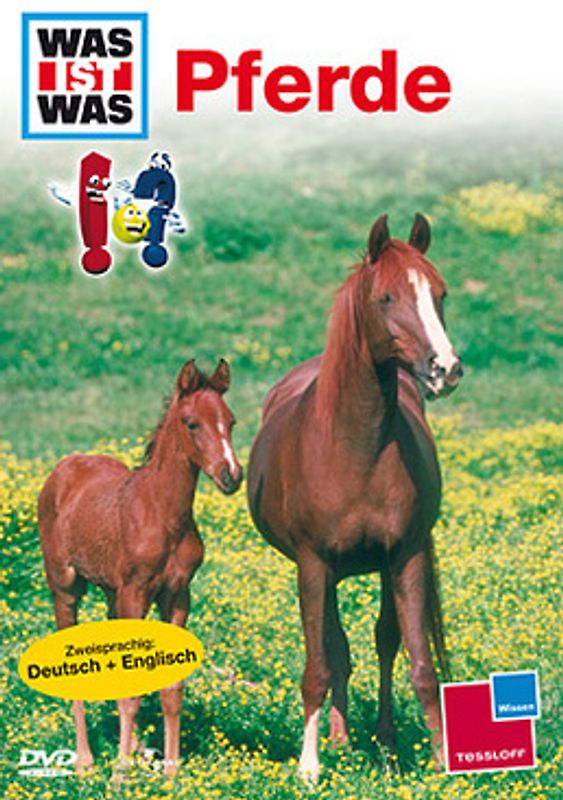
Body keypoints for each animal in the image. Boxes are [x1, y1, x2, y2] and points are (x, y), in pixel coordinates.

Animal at [38, 358, 242, 777]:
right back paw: (85, 762)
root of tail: (64, 468)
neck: (164, 514)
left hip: (111, 594)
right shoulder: (136, 593)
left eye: (230, 421)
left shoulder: (177, 595)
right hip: (65, 586)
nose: (231, 474)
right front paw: (119, 774)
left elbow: (171, 687)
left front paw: (171, 772)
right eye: (191, 422)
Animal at [247, 213, 463, 780]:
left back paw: (382, 745)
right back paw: (340, 742)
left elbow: (417, 661)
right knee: (336, 649)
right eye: (386, 297)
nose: (445, 369)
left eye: (440, 294)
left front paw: (442, 761)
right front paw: (309, 766)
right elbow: (319, 666)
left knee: (382, 641)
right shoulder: (313, 564)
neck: (355, 447)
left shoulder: (405, 556)